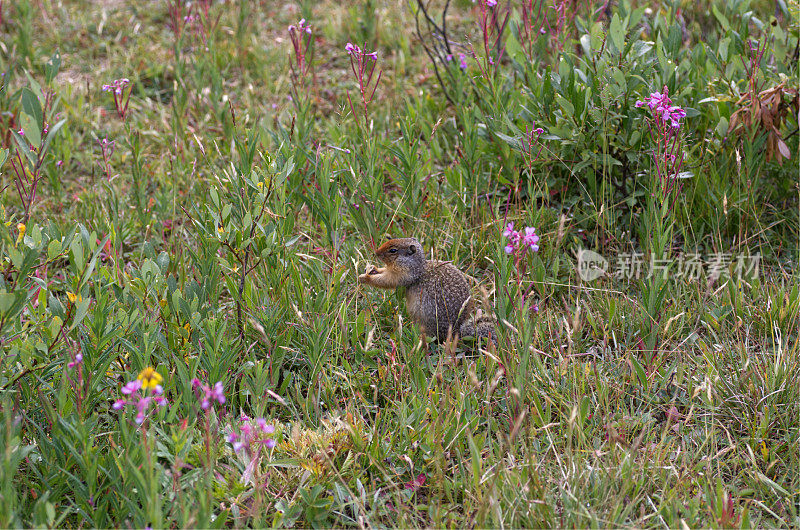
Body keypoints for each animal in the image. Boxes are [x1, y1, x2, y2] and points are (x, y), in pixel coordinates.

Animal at [356, 237, 494, 344]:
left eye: (393, 250)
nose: (376, 253)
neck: (418, 266)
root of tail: (456, 331)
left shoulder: (403, 274)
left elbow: (387, 280)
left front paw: (365, 277)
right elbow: (383, 272)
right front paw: (372, 269)